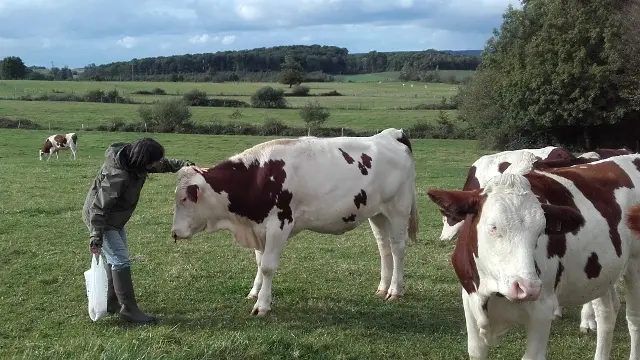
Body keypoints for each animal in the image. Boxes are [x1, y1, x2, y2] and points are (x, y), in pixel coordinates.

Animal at [171, 128, 420, 316]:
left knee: (397, 248)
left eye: (184, 198)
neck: (257, 178)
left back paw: (395, 290)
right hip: (377, 214)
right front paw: (255, 292)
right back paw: (382, 288)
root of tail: (391, 134)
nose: (174, 232)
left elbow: (268, 266)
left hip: (398, 210)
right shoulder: (259, 227)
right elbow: (259, 263)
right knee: (384, 248)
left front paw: (262, 305)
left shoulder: (279, 225)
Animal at [424, 155, 640, 360]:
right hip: (603, 271)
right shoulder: (470, 298)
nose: (528, 287)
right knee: (606, 313)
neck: (493, 290)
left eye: (540, 231)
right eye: (493, 227)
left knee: (634, 318)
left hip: (635, 265)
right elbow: (476, 351)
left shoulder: (542, 309)